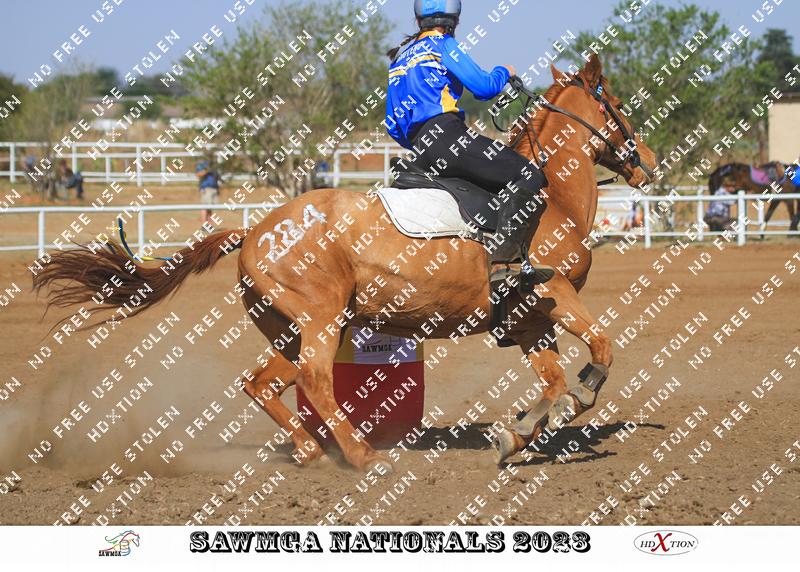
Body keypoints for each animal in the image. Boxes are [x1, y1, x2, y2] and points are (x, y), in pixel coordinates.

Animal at [33, 54, 656, 474]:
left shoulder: (526, 318)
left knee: (260, 384)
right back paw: (360, 454)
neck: (551, 198)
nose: (648, 162)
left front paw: (520, 432)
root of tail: (255, 230)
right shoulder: (556, 294)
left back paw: (311, 450)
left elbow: (551, 379)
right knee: (314, 380)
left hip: (286, 328)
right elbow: (600, 350)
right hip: (321, 320)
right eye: (618, 105)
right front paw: (579, 397)